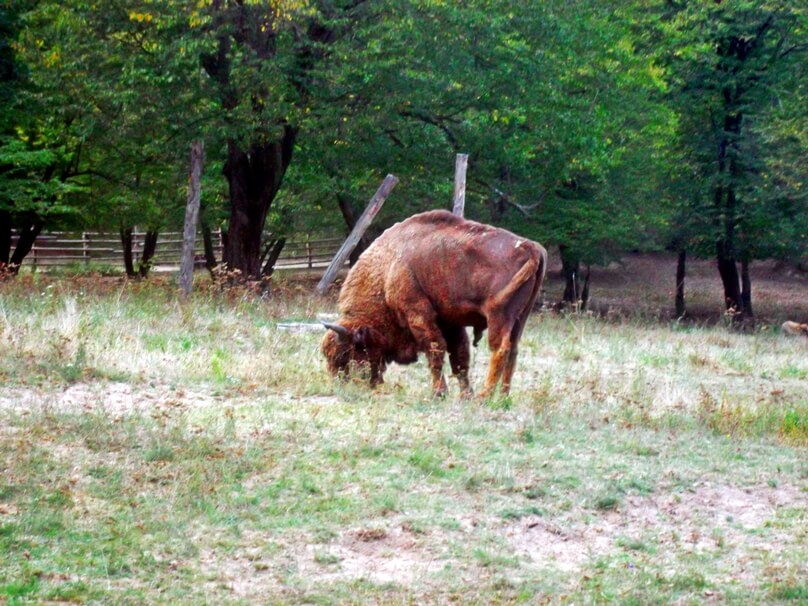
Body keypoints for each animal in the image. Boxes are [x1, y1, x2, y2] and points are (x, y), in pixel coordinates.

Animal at [318, 209, 548, 400]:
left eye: (344, 354)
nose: (341, 386)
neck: (387, 268)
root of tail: (532, 248)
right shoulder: (450, 322)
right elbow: (459, 358)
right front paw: (465, 395)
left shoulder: (419, 314)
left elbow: (435, 351)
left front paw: (439, 393)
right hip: (520, 318)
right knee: (513, 350)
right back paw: (502, 397)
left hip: (499, 316)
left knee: (500, 350)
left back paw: (485, 396)